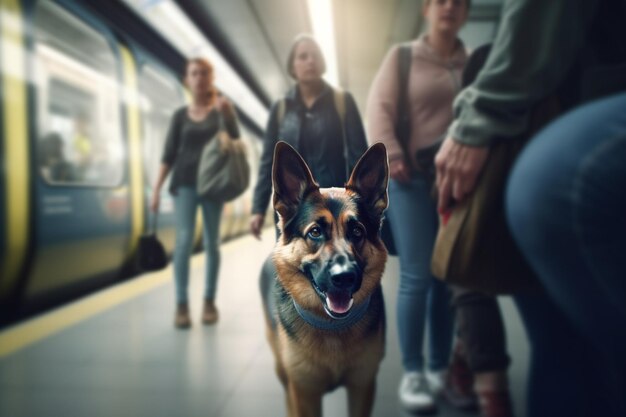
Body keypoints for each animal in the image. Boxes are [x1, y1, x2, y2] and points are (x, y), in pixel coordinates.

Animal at [260, 141, 388, 414]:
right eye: (315, 232)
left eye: (357, 231)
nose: (345, 277)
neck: (332, 328)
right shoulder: (304, 393)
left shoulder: (362, 386)